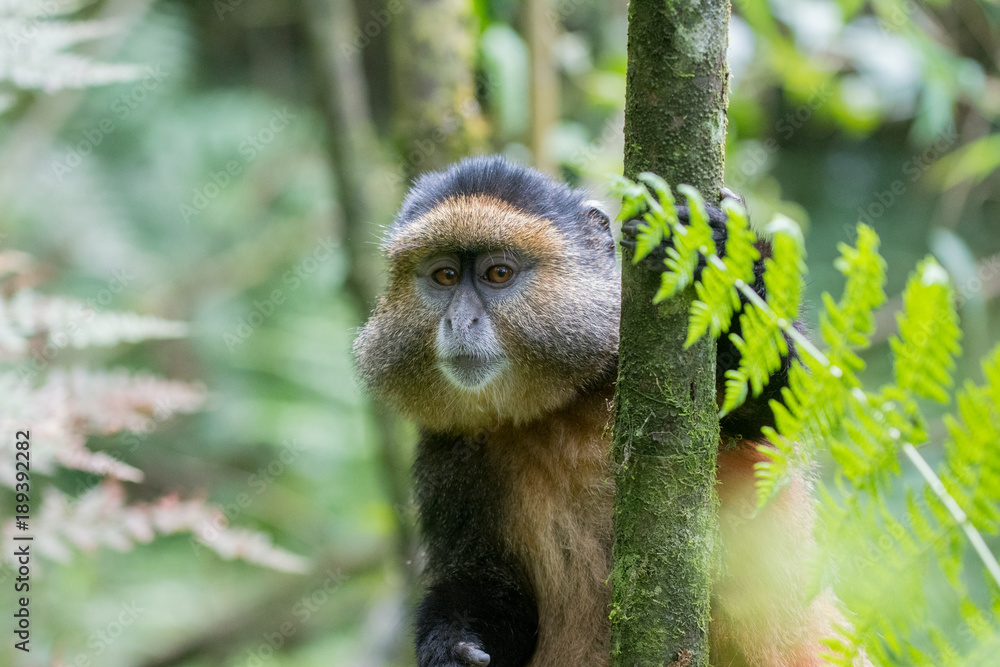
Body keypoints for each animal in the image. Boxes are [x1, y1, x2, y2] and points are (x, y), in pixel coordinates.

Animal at [354, 155, 849, 667]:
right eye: (445, 277)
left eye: (498, 274)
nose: (459, 321)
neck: (559, 405)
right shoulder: (449, 452)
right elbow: (489, 584)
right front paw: (453, 647)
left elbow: (784, 405)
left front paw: (718, 249)